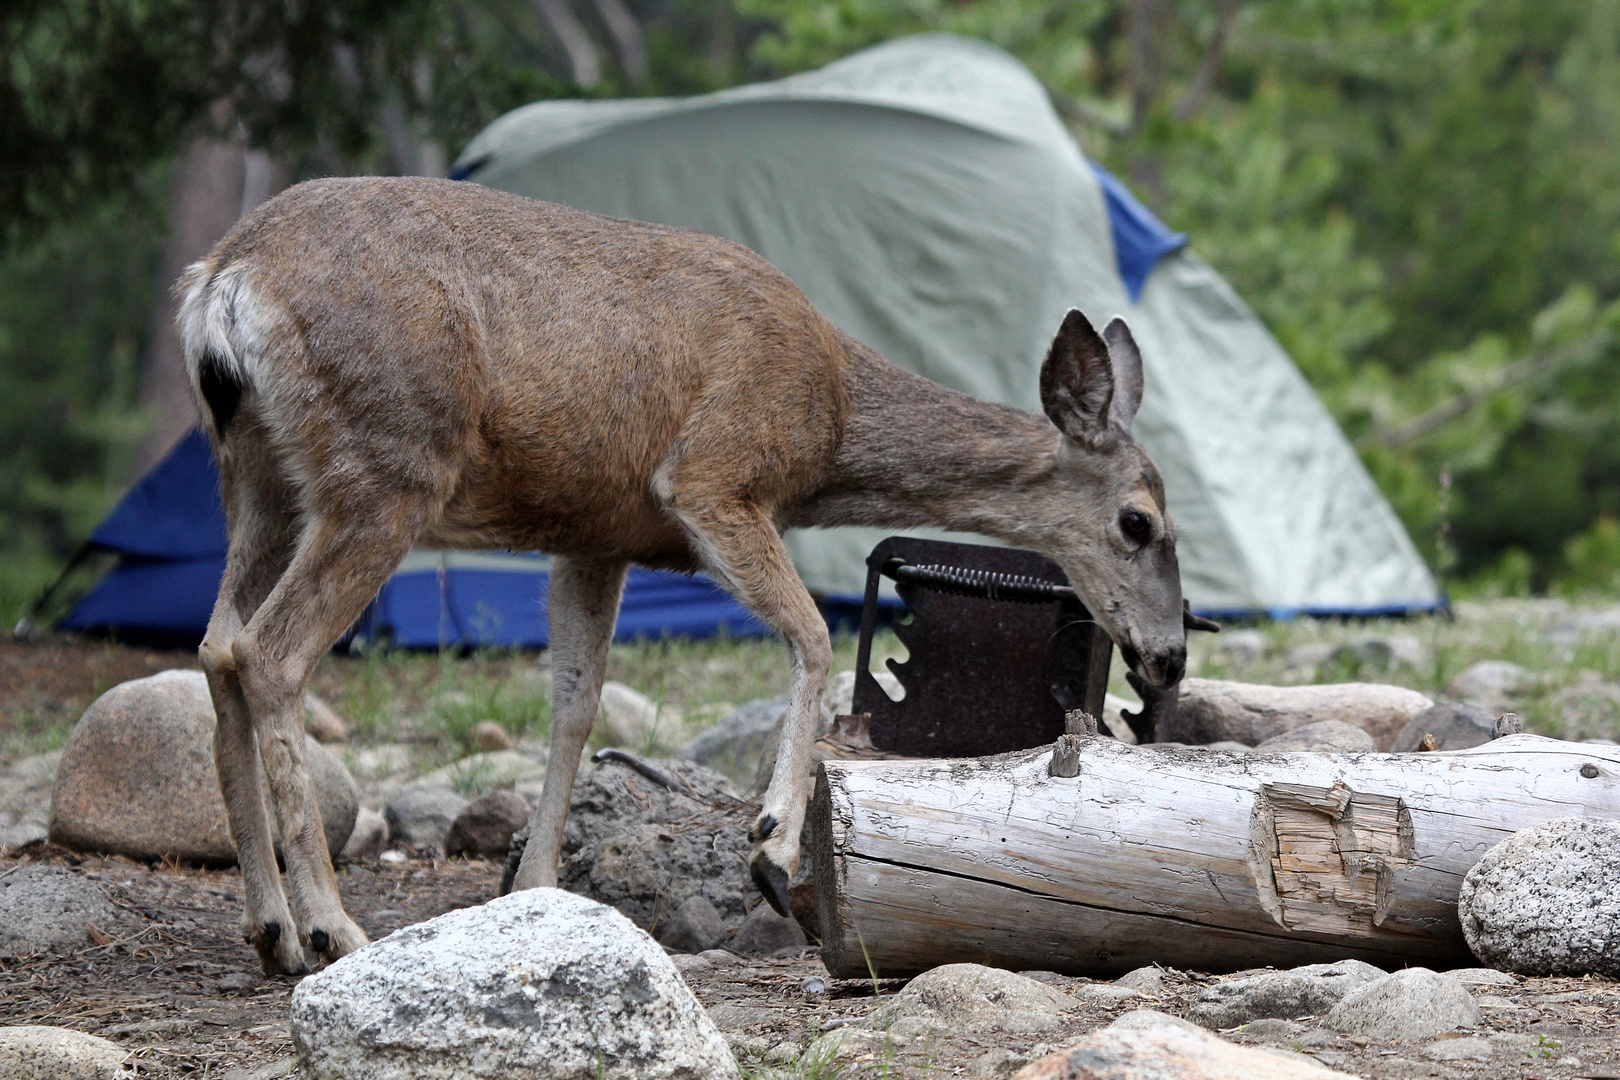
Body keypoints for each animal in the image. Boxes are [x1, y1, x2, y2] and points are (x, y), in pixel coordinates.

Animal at [177, 175, 1192, 971]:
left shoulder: (596, 534)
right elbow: (812, 634)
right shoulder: (711, 478)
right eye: (1138, 522)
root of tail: (224, 279)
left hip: (259, 476)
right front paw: (772, 846)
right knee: (270, 652)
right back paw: (331, 928)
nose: (1171, 655)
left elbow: (575, 702)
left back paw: (269, 928)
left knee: (218, 645)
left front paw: (537, 889)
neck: (829, 425)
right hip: (389, 462)